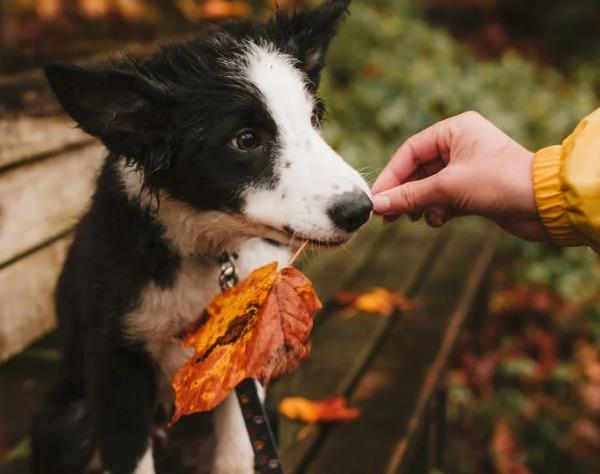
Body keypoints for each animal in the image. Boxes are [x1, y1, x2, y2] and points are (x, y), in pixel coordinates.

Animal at [32, 1, 372, 472]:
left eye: (313, 119)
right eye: (245, 140)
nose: (360, 210)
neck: (207, 250)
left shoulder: (244, 359)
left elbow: (238, 454)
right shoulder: (116, 368)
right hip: (69, 421)